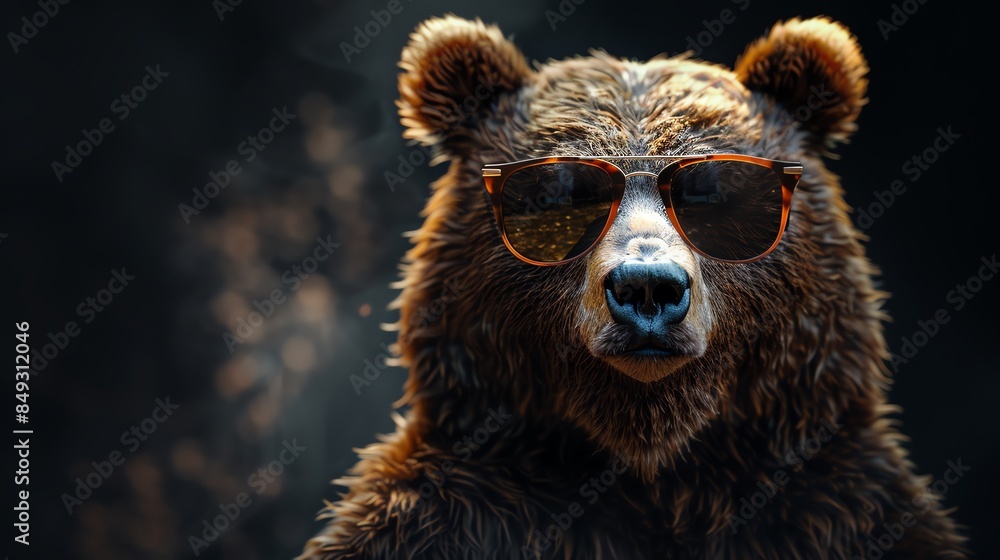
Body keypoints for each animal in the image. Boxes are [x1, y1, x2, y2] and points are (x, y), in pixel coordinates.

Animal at [299, 15, 967, 559]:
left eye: (712, 191)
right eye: (562, 194)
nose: (648, 287)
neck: (654, 470)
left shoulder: (835, 502)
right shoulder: (454, 506)